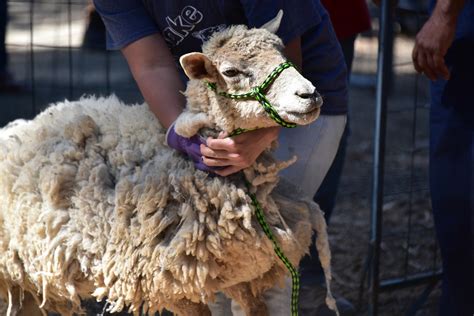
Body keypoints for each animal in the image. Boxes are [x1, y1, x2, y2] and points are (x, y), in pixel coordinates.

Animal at [0, 11, 336, 314]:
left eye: (283, 52)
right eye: (230, 72)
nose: (309, 94)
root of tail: (18, 128)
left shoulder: (246, 277)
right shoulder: (171, 283)